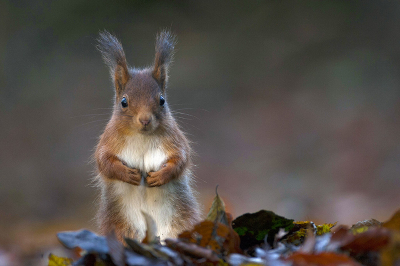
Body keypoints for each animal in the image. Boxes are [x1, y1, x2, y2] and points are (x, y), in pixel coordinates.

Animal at [93, 30, 200, 241]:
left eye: (162, 100)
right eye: (124, 102)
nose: (144, 120)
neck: (141, 136)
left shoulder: (174, 140)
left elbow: (181, 159)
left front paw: (160, 176)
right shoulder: (109, 141)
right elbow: (104, 161)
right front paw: (127, 174)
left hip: (182, 222)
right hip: (119, 225)